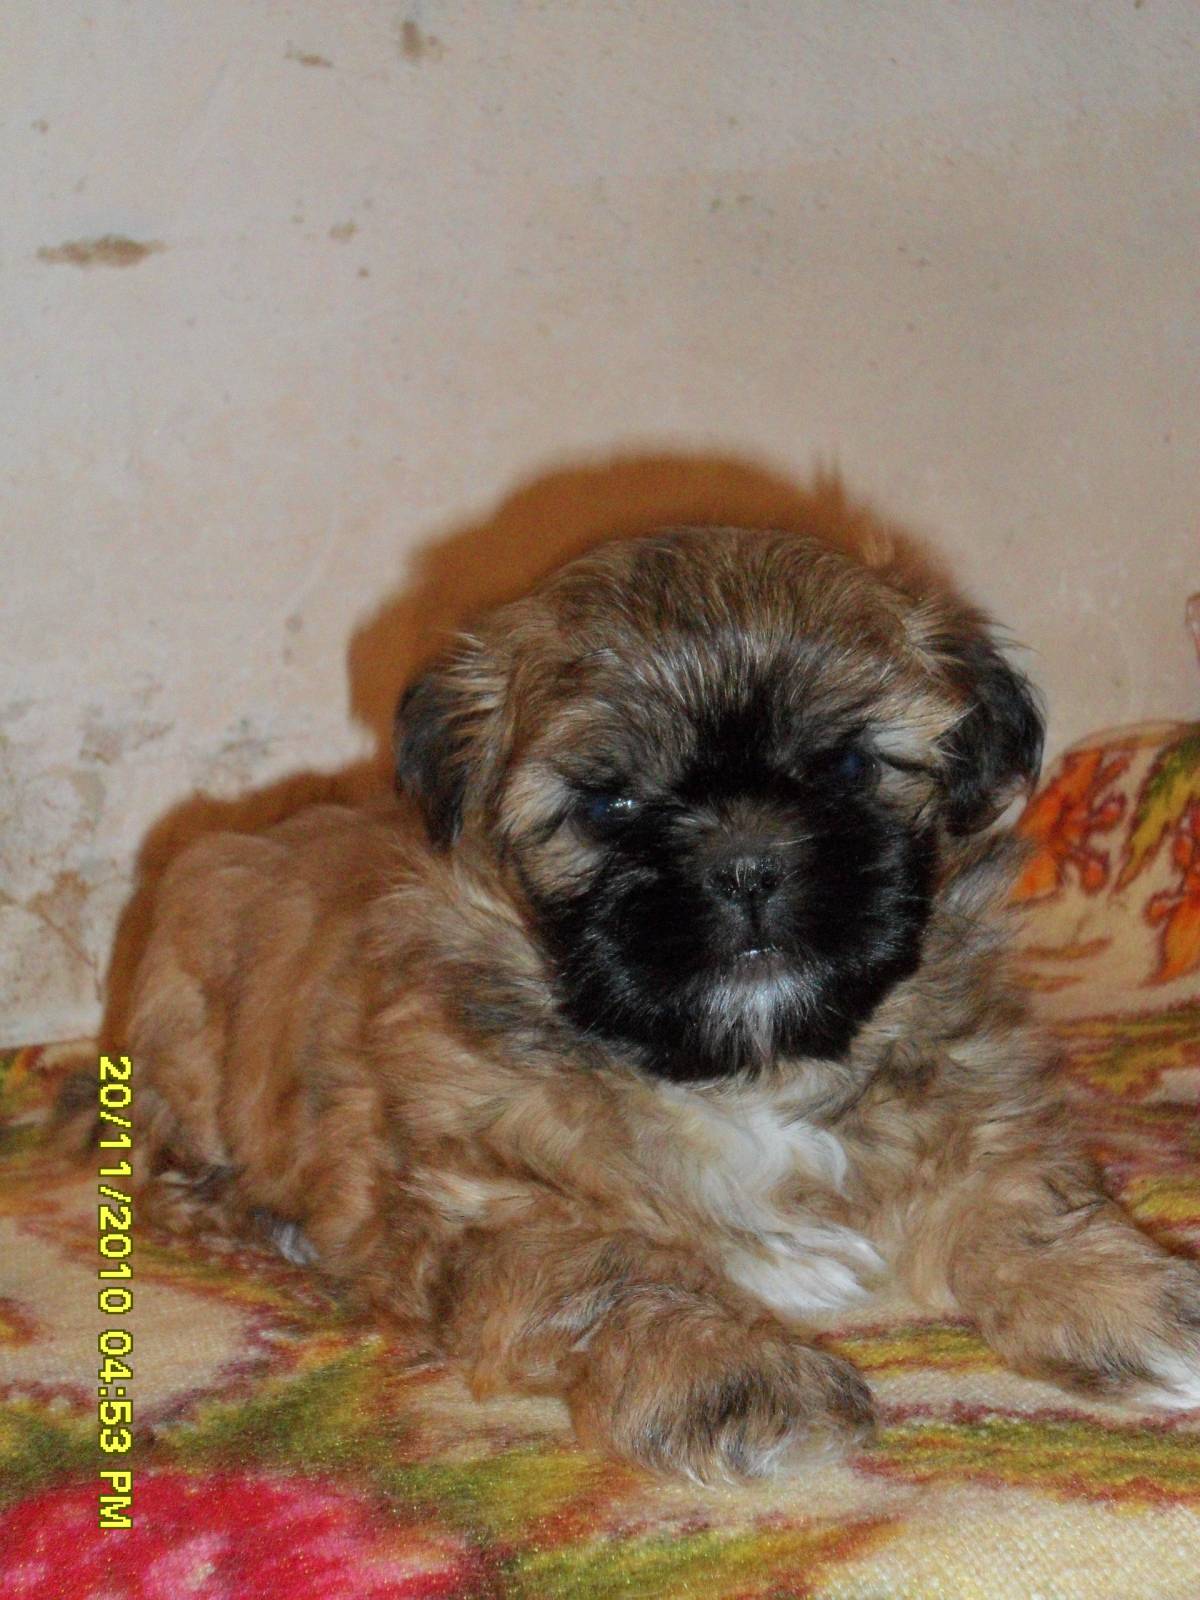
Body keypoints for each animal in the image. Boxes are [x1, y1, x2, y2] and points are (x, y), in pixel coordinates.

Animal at [129, 525, 1200, 1481]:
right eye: (610, 805)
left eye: (848, 765)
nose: (748, 863)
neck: (745, 1074)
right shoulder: (492, 1205)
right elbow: (614, 1274)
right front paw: (728, 1375)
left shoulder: (977, 1106)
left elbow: (1025, 1202)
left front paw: (1124, 1297)